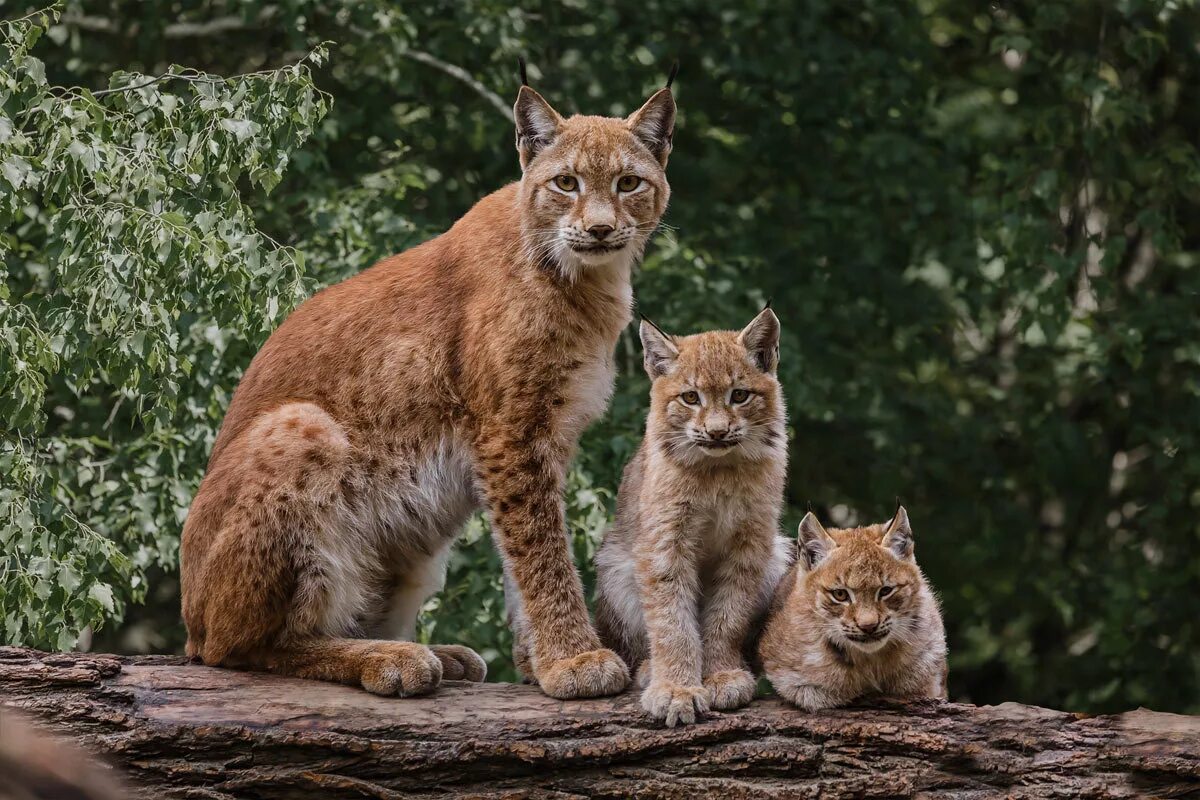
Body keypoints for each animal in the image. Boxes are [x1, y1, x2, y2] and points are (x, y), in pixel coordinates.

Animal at [595, 309, 792, 729]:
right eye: (690, 398)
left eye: (739, 395)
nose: (716, 432)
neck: (718, 470)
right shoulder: (665, 543)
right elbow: (672, 621)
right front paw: (676, 689)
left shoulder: (751, 542)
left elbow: (728, 614)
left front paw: (721, 675)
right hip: (616, 563)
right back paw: (650, 670)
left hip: (779, 553)